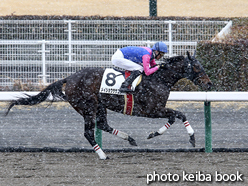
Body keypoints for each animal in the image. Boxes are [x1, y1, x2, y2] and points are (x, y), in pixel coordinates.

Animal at [5, 51, 211, 159]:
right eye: (197, 67)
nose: (209, 84)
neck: (157, 79)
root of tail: (69, 78)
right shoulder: (150, 109)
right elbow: (179, 114)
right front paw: (191, 138)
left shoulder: (156, 109)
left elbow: (175, 115)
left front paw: (154, 134)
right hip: (87, 106)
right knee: (89, 132)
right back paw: (103, 155)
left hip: (99, 106)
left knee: (103, 124)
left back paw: (129, 139)